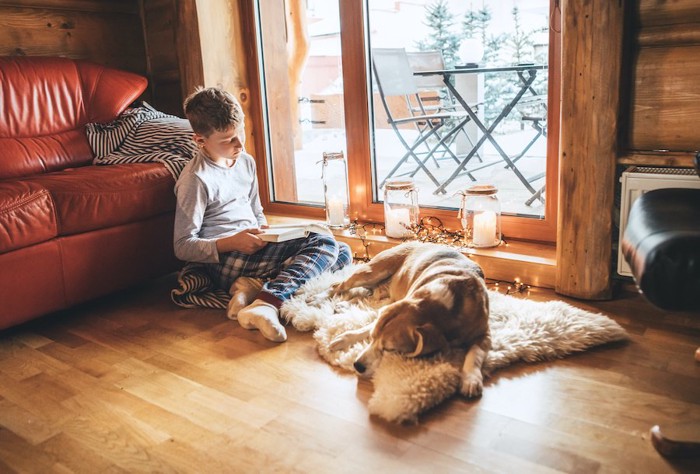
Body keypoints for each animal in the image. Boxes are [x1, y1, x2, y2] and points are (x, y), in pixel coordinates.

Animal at [330, 243, 490, 398]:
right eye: (371, 338)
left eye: (390, 349)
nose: (357, 365)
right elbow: (367, 327)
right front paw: (344, 338)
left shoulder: (485, 333)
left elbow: (475, 353)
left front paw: (471, 379)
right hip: (369, 273)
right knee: (339, 287)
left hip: (382, 293)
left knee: (369, 297)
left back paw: (344, 305)